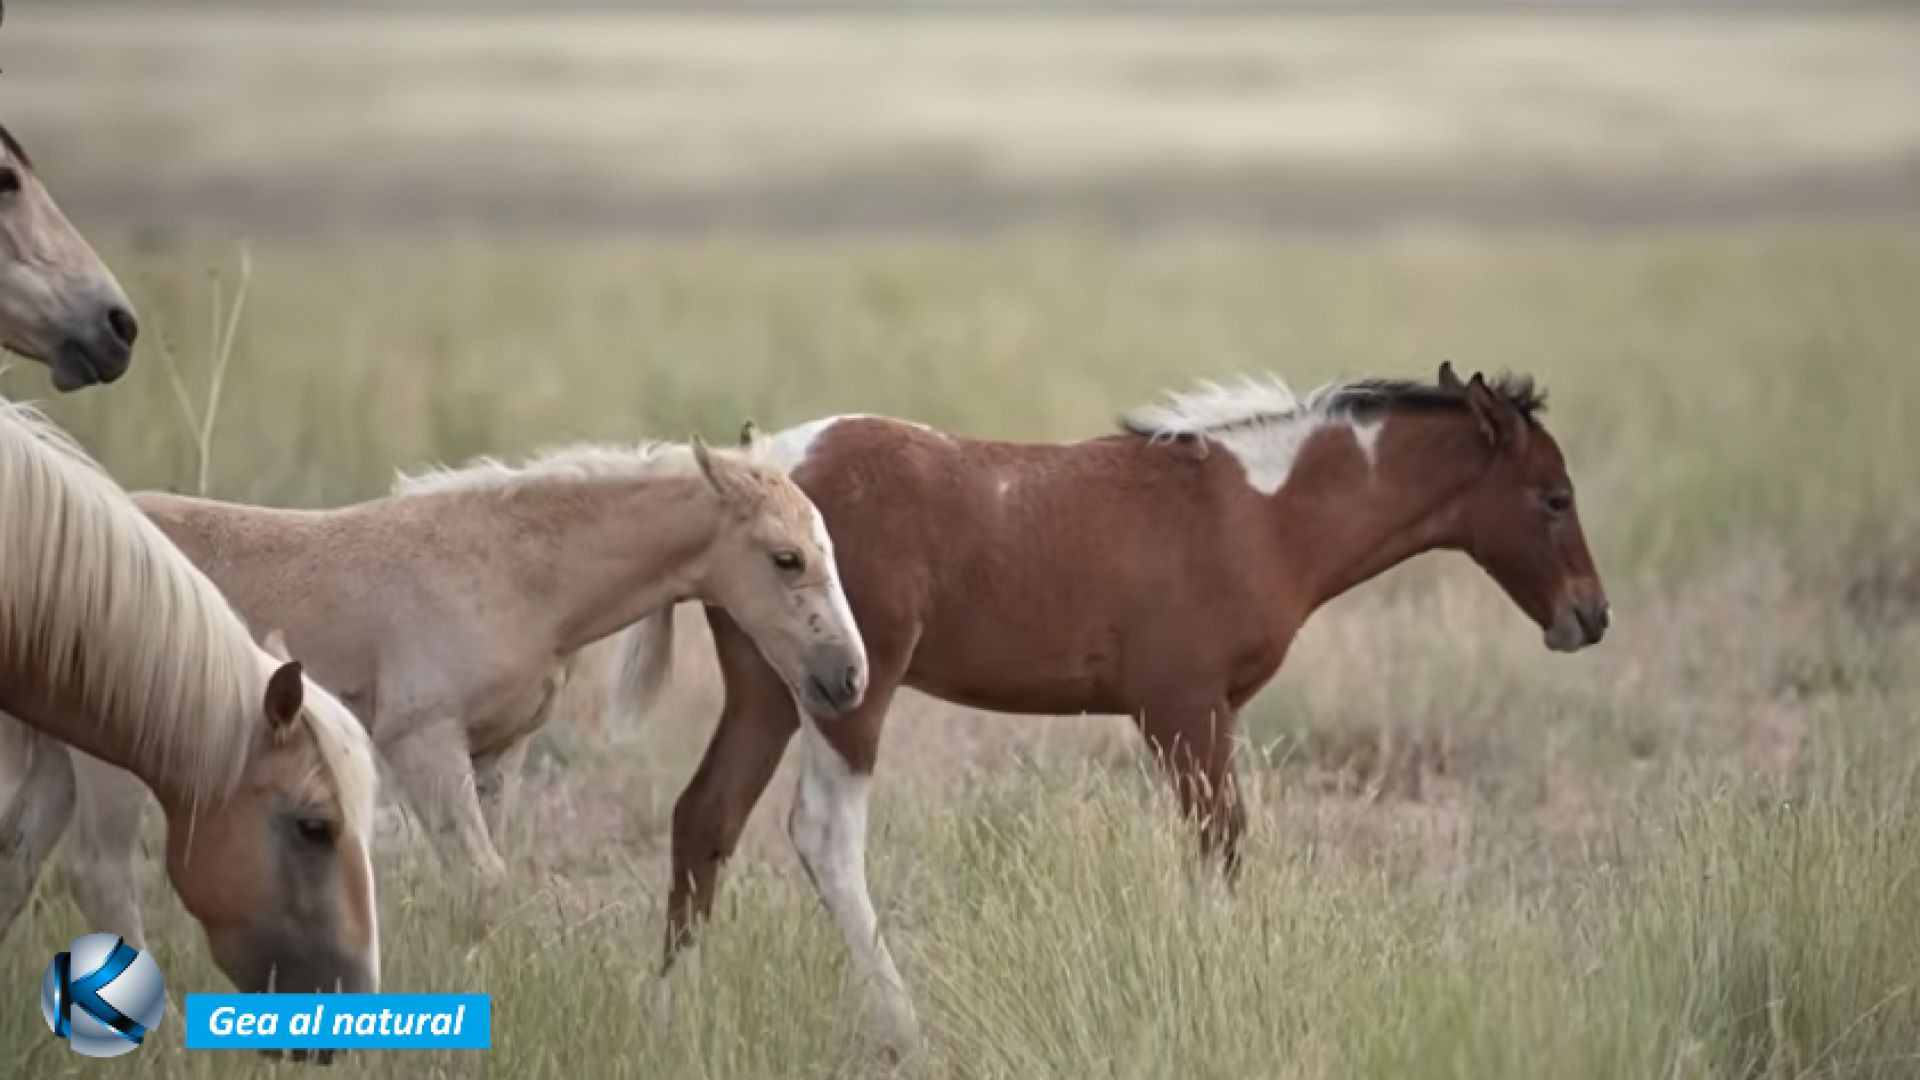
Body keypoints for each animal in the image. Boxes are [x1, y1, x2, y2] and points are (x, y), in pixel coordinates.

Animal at [34, 433, 868, 947]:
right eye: (786, 557)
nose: (849, 675)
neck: (513, 572)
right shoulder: (422, 742)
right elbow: (483, 880)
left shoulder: (497, 752)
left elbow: (476, 889)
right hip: (109, 758)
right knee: (101, 874)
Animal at [616, 363, 1609, 1057]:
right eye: (1554, 498)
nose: (1590, 617)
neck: (1257, 515)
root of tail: (755, 469)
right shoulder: (1183, 709)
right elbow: (1221, 838)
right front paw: (1220, 989)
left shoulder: (1193, 715)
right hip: (854, 689)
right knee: (823, 836)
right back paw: (904, 1032)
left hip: (771, 690)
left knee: (705, 818)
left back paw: (670, 1021)